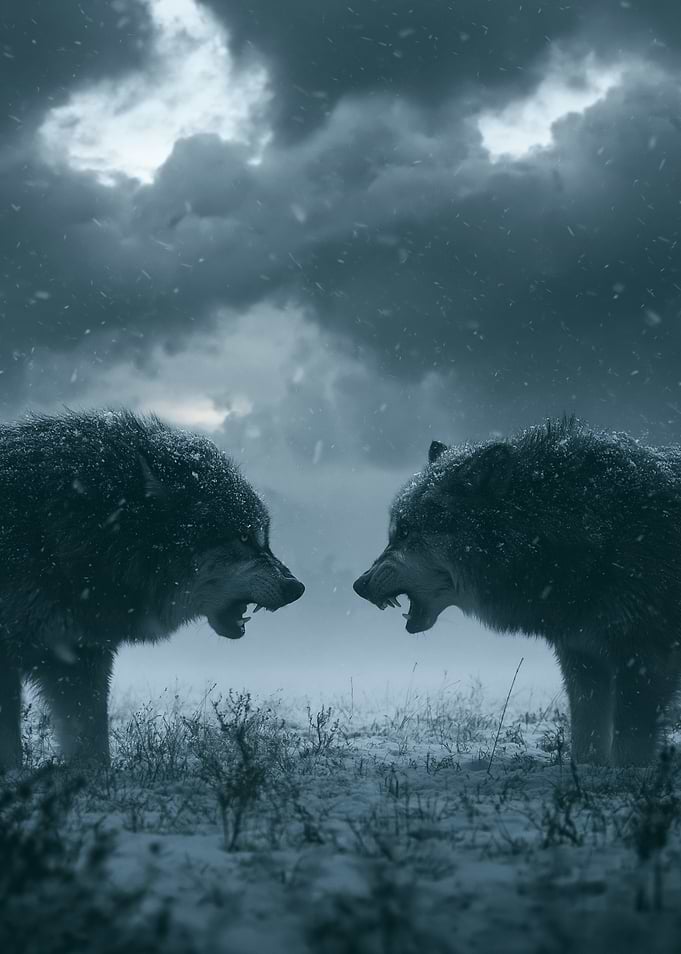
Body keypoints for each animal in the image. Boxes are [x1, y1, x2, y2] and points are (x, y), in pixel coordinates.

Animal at [0, 409, 304, 769]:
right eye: (243, 537)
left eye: (264, 540)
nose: (296, 588)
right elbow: (12, 753)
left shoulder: (78, 655)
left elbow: (94, 749)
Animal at [354, 418, 681, 766]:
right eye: (394, 533)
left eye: (404, 532)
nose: (358, 585)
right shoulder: (583, 658)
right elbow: (587, 740)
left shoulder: (642, 659)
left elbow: (630, 747)